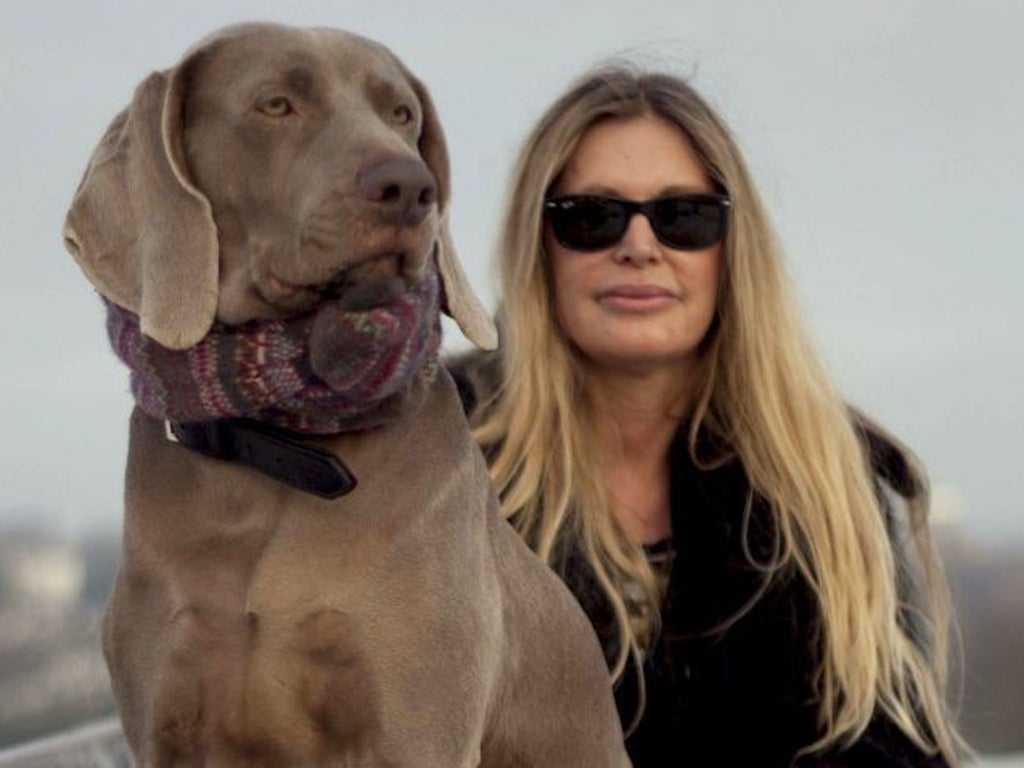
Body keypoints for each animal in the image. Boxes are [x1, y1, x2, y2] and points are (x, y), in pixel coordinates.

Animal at [61, 22, 630, 768]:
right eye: (276, 105)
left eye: (403, 115)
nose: (410, 186)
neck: (276, 442)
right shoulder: (168, 729)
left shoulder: (416, 731)